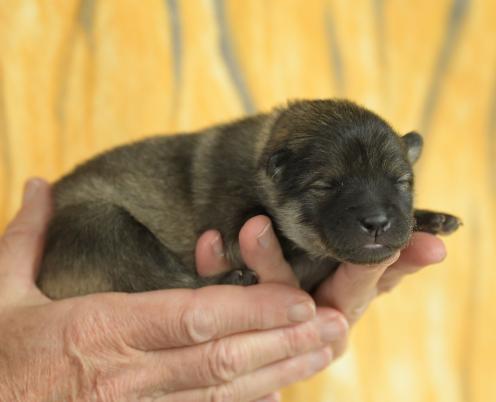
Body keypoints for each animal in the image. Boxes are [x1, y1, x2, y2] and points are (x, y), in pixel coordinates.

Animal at [37, 99, 462, 298]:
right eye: (326, 186)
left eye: (403, 183)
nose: (377, 222)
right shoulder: (238, 229)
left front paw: (429, 217)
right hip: (102, 225)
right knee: (156, 281)